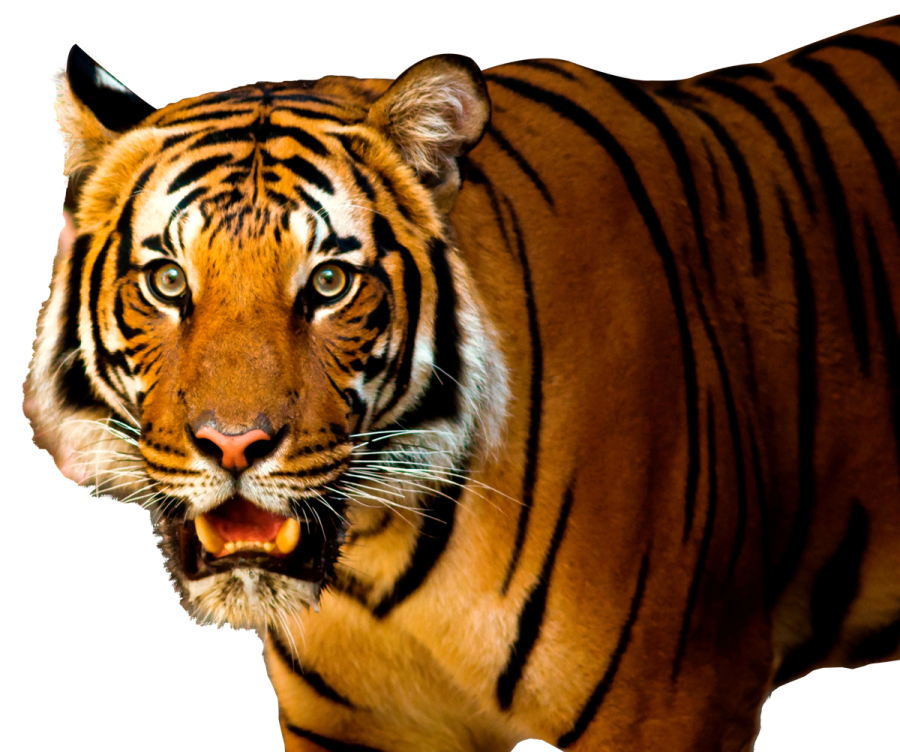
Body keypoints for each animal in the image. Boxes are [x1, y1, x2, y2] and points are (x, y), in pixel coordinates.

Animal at [24, 17, 900, 751]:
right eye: (169, 281)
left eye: (330, 282)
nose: (233, 446)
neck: (380, 561)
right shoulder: (347, 729)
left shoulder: (674, 702)